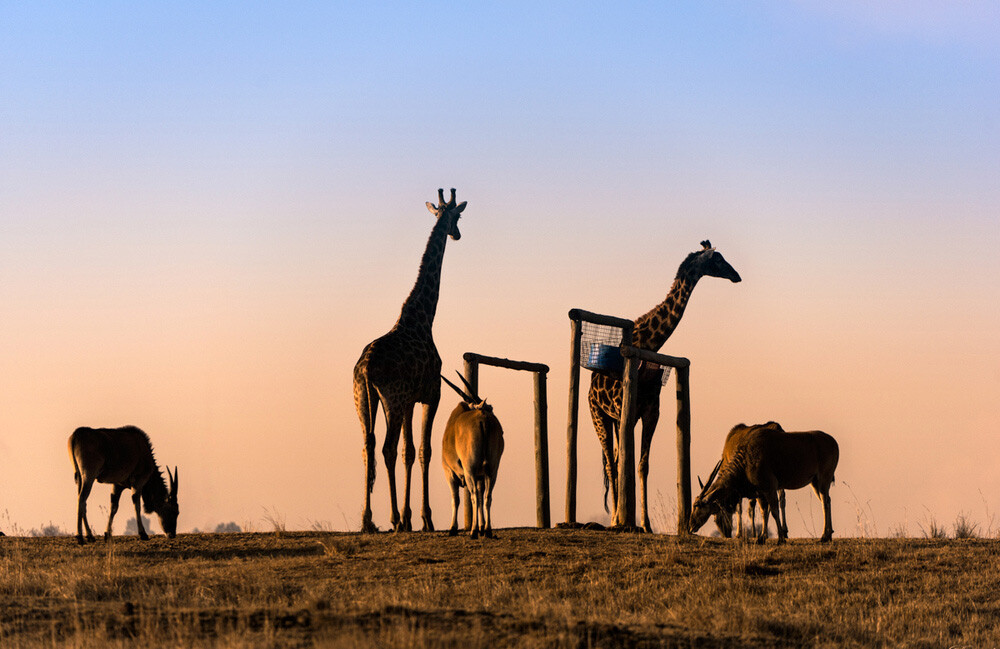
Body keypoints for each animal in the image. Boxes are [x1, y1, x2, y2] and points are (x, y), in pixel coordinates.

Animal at [354, 187, 466, 532]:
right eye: (456, 217)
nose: (457, 234)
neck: (424, 317)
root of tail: (364, 369)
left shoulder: (407, 401)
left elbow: (409, 451)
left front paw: (409, 517)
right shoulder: (431, 394)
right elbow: (424, 450)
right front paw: (423, 519)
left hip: (364, 399)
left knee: (369, 447)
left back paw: (368, 521)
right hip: (389, 398)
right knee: (385, 448)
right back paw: (390, 518)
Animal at [442, 372, 504, 540]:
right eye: (490, 407)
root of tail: (483, 419)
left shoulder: (449, 472)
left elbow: (456, 499)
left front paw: (452, 528)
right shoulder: (480, 476)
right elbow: (483, 496)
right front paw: (482, 527)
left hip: (469, 470)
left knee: (474, 496)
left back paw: (474, 531)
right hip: (492, 470)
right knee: (487, 496)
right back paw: (487, 530)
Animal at [584, 239, 744, 532]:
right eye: (718, 260)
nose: (736, 275)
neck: (649, 344)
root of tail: (591, 387)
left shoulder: (650, 411)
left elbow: (642, 465)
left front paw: (645, 524)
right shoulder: (627, 409)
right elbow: (627, 463)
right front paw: (626, 521)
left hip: (614, 418)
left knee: (616, 459)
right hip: (597, 414)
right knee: (611, 463)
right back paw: (614, 519)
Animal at [688, 422, 836, 544]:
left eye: (697, 505)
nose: (690, 526)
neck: (745, 459)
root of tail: (834, 442)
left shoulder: (769, 488)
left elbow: (773, 510)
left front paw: (780, 538)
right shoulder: (760, 492)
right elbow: (764, 511)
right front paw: (762, 537)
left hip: (824, 479)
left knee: (824, 502)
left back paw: (824, 536)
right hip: (814, 482)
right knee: (827, 500)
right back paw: (828, 535)